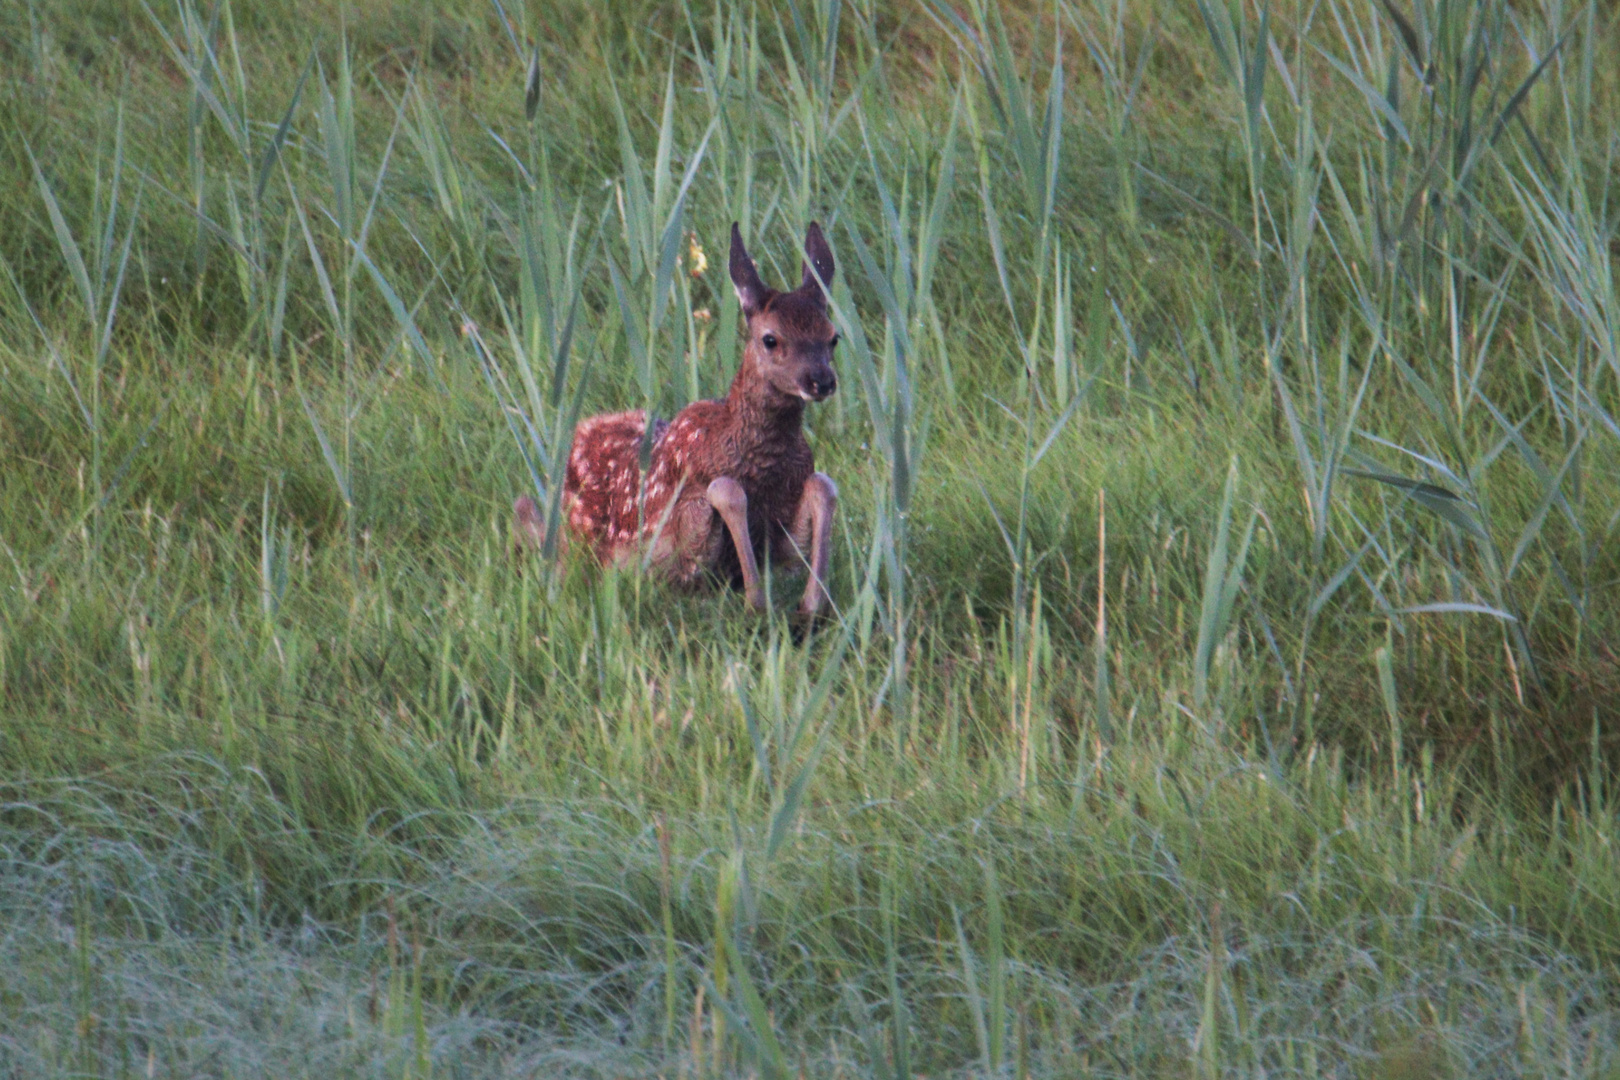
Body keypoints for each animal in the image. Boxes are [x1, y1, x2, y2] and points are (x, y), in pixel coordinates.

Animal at [515, 221, 848, 625]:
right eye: (770, 339)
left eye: (833, 337)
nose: (821, 381)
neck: (760, 466)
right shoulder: (684, 534)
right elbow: (726, 491)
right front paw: (757, 602)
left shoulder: (783, 535)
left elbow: (822, 485)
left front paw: (812, 605)